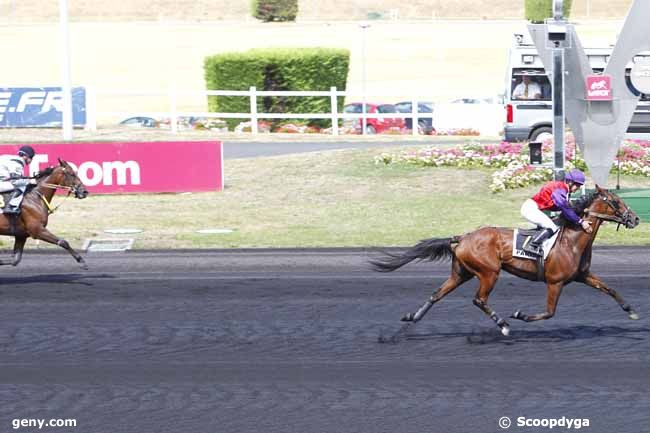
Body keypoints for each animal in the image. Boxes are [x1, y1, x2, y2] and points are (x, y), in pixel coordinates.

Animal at [372, 184, 640, 336]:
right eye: (616, 202)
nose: (635, 219)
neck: (572, 240)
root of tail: (462, 237)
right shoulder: (555, 282)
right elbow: (549, 312)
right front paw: (520, 315)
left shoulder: (582, 275)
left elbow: (610, 289)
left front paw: (631, 311)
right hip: (489, 272)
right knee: (478, 299)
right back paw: (502, 324)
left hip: (461, 273)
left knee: (436, 294)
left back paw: (413, 317)